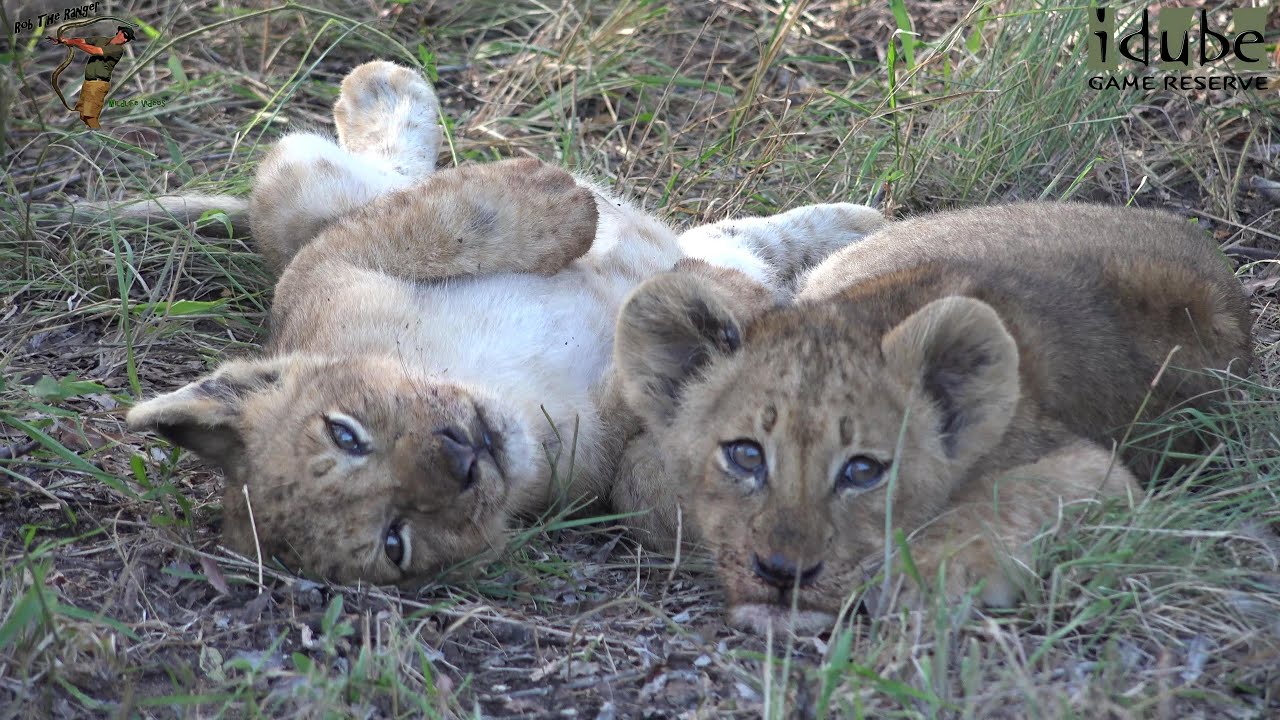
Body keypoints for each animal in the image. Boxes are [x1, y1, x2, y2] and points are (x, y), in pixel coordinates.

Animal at [124, 60, 887, 584]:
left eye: (345, 433)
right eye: (395, 540)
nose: (464, 457)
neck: (510, 393)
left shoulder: (326, 272)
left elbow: (436, 217)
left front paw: (556, 198)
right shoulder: (597, 470)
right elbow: (646, 477)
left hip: (317, 197)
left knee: (300, 177)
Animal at [614, 202, 1253, 634]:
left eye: (863, 471)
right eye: (746, 455)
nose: (782, 573)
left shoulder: (1090, 468)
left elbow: (1007, 500)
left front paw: (919, 572)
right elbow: (642, 485)